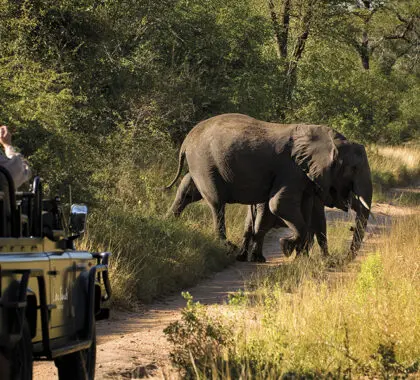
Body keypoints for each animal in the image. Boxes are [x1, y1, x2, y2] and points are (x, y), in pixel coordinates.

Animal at [166, 113, 372, 255]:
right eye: (354, 168)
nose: (344, 259)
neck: (330, 141)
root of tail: (186, 140)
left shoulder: (306, 177)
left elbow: (312, 211)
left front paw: (306, 255)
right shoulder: (292, 170)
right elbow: (279, 204)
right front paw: (286, 247)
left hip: (200, 164)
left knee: (187, 190)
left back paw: (167, 222)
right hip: (204, 162)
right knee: (217, 202)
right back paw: (227, 247)